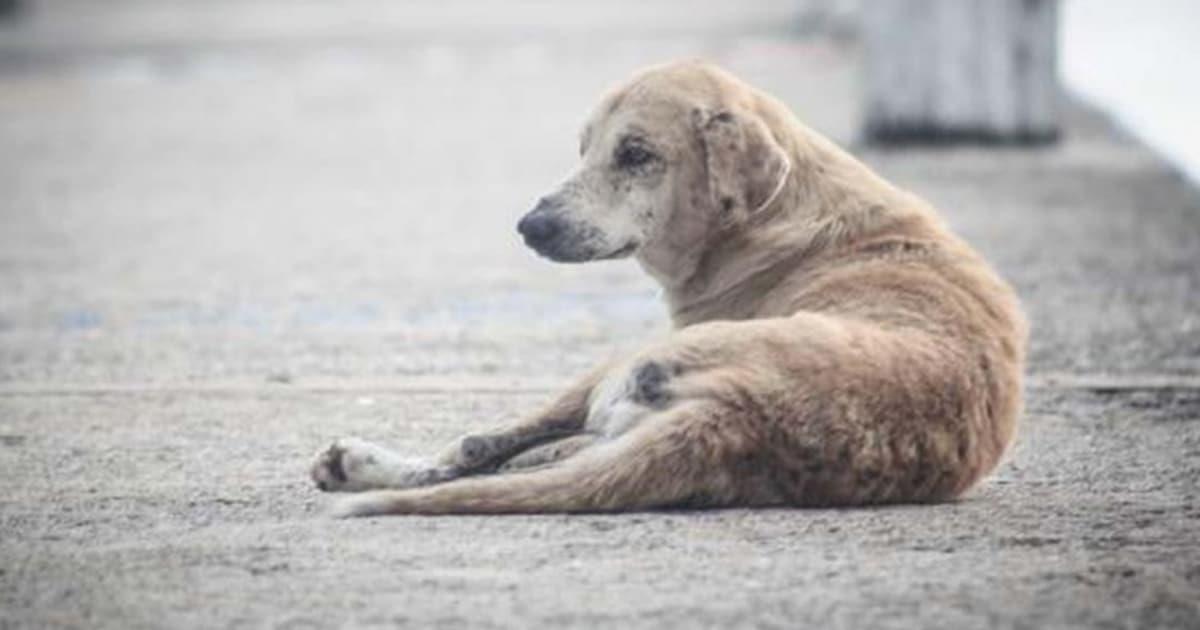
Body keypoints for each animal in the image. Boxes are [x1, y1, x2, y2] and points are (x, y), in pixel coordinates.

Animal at [312, 58, 1032, 516]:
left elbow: (486, 441)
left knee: (475, 453)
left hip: (625, 364)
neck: (775, 212)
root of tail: (736, 417)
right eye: (584, 148)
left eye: (636, 154)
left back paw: (364, 466)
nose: (529, 226)